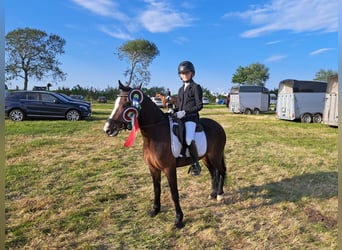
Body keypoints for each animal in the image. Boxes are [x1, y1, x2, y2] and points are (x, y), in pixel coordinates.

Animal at [104, 81, 227, 229]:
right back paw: (213, 194)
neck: (155, 134)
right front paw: (155, 210)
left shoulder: (169, 169)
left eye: (127, 104)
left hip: (215, 156)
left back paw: (220, 194)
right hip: (206, 158)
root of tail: (219, 126)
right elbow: (156, 189)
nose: (107, 129)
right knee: (214, 173)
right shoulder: (153, 168)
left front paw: (179, 219)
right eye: (116, 102)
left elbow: (174, 193)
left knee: (222, 171)